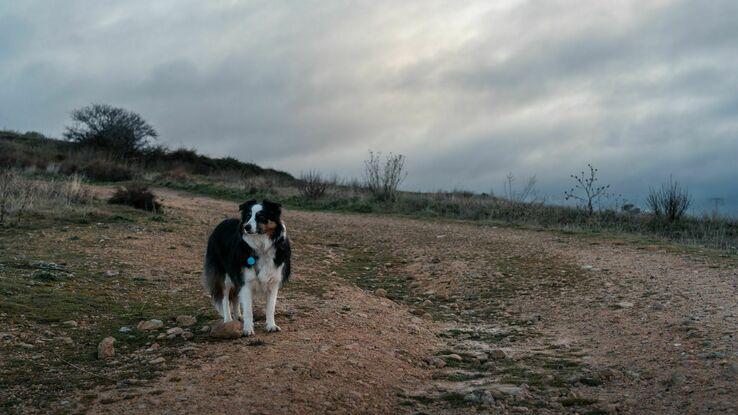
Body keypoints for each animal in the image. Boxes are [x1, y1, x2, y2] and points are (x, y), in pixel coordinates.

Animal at [204, 200, 294, 336]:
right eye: (248, 216)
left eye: (261, 217)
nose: (246, 227)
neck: (261, 246)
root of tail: (222, 222)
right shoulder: (246, 281)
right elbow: (248, 309)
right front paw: (248, 329)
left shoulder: (273, 281)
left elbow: (270, 308)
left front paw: (271, 325)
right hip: (225, 277)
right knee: (225, 299)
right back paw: (228, 321)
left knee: (235, 298)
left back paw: (238, 316)